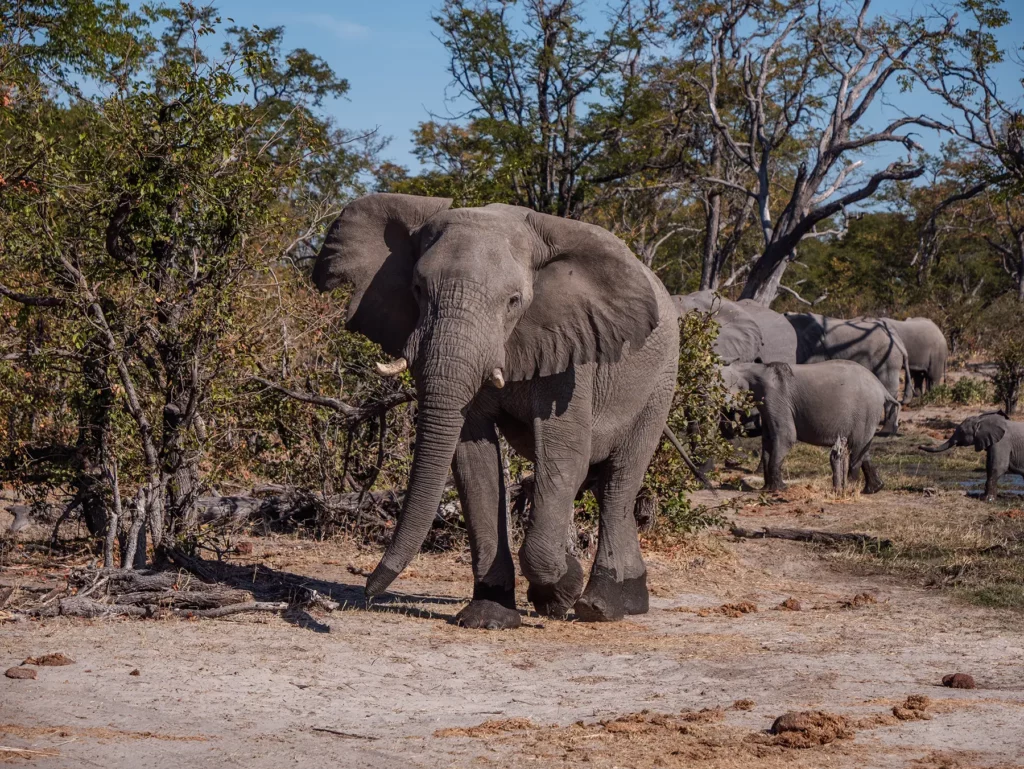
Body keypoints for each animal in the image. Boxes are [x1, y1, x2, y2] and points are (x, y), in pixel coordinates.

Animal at [312, 193, 680, 627]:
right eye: (417, 289)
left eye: (513, 302)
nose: (366, 590)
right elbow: (474, 460)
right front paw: (490, 615)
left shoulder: (574, 353)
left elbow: (564, 455)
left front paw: (560, 591)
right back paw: (629, 600)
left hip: (660, 382)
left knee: (618, 481)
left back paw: (600, 606)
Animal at [721, 360, 901, 494]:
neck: (752, 368)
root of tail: (882, 388)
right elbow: (768, 440)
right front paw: (767, 489)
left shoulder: (774, 396)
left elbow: (786, 436)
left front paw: (780, 489)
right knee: (863, 448)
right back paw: (873, 488)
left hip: (866, 411)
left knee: (857, 449)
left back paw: (850, 487)